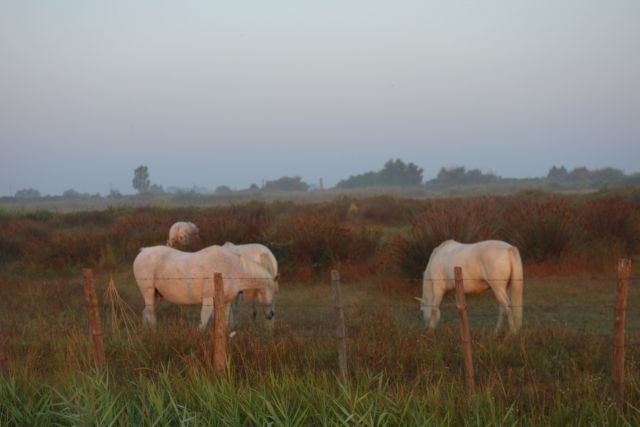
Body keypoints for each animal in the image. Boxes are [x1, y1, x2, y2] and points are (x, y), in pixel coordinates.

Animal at [132, 244, 278, 332]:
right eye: (272, 291)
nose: (271, 314)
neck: (231, 267)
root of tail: (143, 251)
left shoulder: (225, 302)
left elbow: (224, 323)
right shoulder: (208, 300)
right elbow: (203, 322)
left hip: (156, 296)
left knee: (145, 312)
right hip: (148, 292)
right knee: (150, 314)